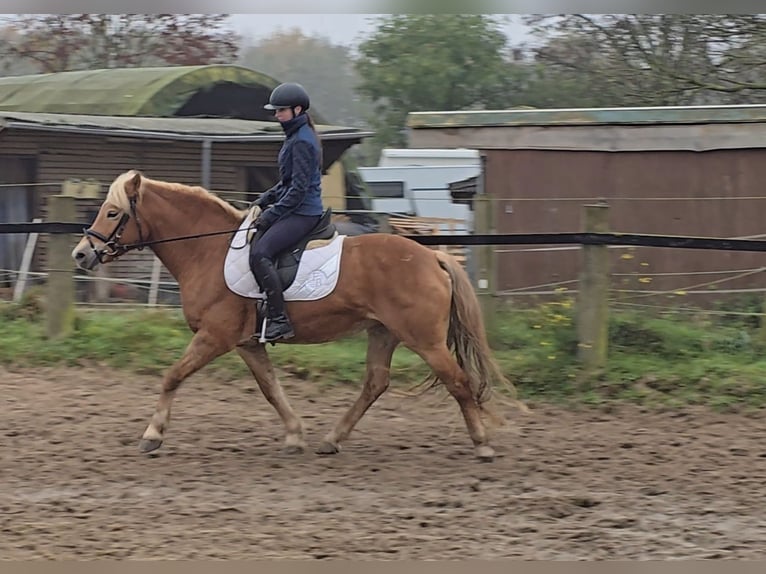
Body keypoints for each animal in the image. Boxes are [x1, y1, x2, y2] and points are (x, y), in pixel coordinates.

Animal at [70, 171, 520, 464]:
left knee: (458, 381)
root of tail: (433, 257)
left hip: (423, 339)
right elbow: (271, 389)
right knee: (375, 383)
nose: (81, 254)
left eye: (113, 213)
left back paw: (482, 444)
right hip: (383, 332)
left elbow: (172, 376)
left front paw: (152, 435)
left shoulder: (214, 336)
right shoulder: (246, 343)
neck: (206, 250)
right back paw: (331, 439)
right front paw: (294, 436)